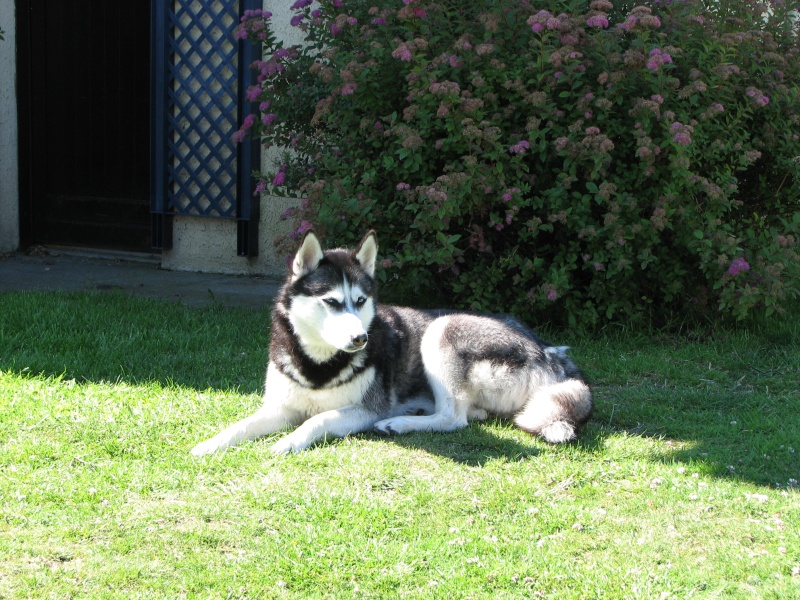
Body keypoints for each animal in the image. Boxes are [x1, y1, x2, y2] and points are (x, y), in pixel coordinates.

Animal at [191, 230, 592, 454]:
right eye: (332, 302)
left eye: (360, 301)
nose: (360, 338)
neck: (319, 365)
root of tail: (551, 353)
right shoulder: (281, 406)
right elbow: (241, 425)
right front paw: (210, 444)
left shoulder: (364, 410)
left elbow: (317, 419)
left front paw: (289, 441)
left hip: (441, 330)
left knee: (454, 418)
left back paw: (400, 424)